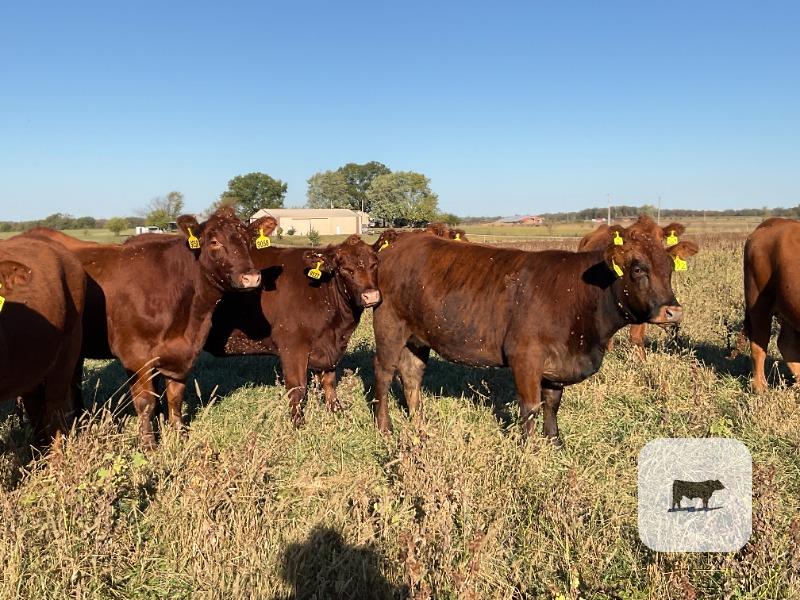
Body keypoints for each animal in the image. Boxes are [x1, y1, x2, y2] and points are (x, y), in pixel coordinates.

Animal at [26, 207, 276, 448]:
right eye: (214, 241)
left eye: (249, 240)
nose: (251, 277)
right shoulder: (136, 356)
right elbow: (146, 402)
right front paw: (149, 445)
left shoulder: (181, 354)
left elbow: (175, 398)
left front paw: (178, 437)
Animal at [205, 232, 396, 425]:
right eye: (344, 269)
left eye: (374, 263)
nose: (371, 296)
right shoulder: (292, 344)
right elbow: (297, 387)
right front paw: (298, 423)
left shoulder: (328, 348)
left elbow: (329, 382)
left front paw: (337, 412)